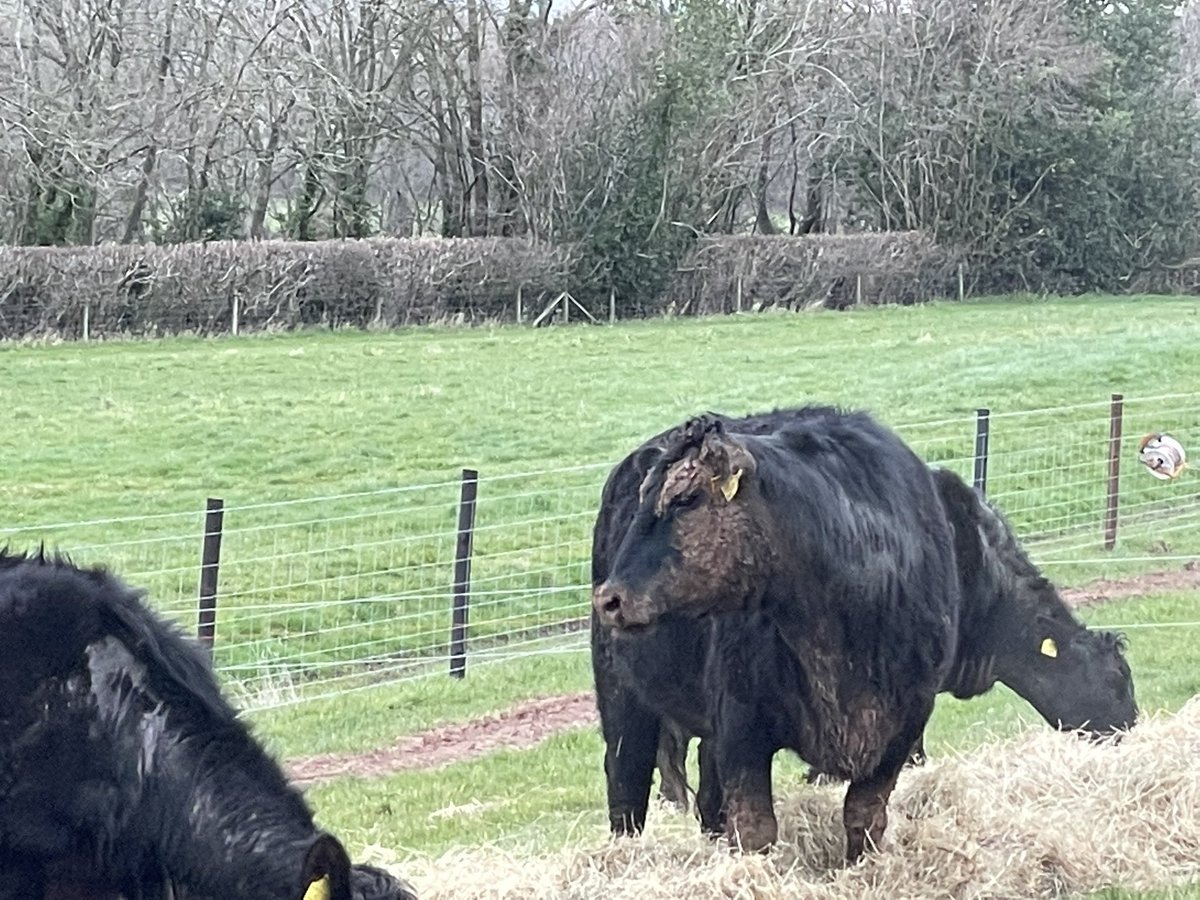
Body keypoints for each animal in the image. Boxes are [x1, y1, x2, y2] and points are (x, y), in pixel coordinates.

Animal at [591, 407, 1137, 862]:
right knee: (627, 786)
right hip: (620, 695)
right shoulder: (742, 724)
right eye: (1116, 682)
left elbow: (865, 816)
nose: (1131, 726)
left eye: (683, 500)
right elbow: (756, 829)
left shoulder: (906, 718)